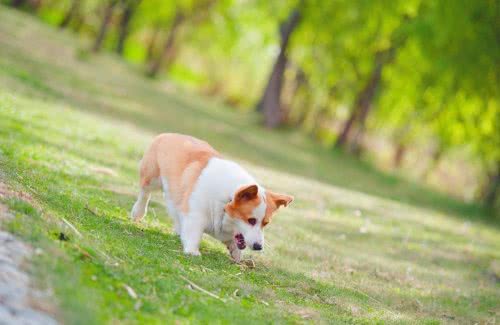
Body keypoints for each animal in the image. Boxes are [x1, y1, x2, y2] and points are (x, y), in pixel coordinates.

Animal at [131, 133, 292, 262]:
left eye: (265, 223)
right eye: (251, 220)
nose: (258, 247)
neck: (227, 199)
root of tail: (168, 134)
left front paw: (236, 254)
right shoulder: (195, 215)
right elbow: (194, 234)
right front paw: (192, 251)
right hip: (152, 178)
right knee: (145, 193)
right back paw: (138, 212)